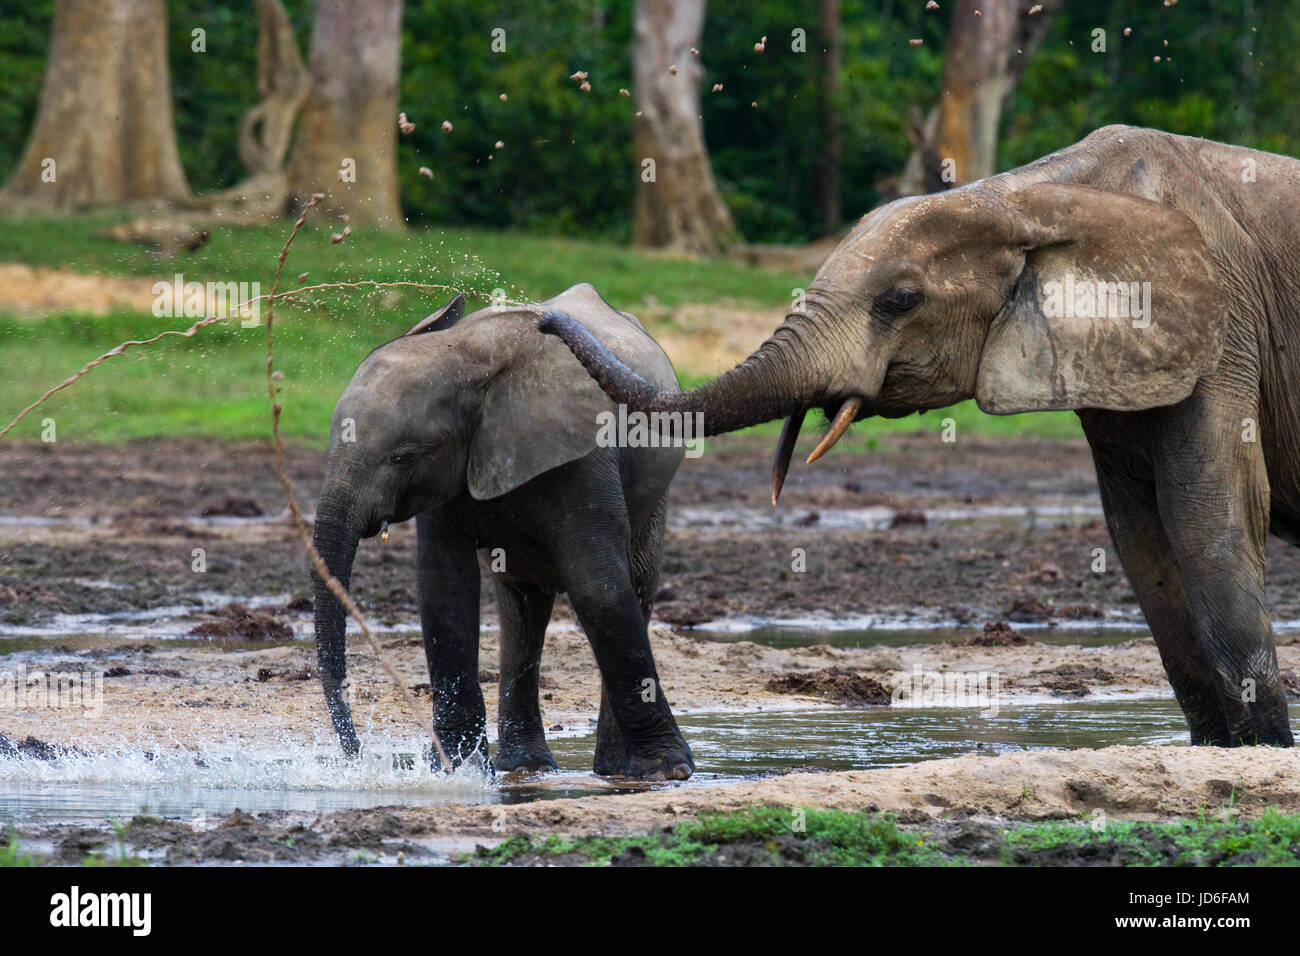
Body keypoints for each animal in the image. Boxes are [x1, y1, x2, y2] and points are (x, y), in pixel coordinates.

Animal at [312, 283, 694, 779]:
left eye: (403, 456)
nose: (359, 755)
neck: (462, 357)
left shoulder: (583, 454)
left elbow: (599, 587)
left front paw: (667, 770)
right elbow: (445, 590)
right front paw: (455, 770)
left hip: (655, 490)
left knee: (635, 583)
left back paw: (616, 770)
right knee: (524, 610)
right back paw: (525, 765)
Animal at [540, 125, 1300, 749]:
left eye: (900, 301)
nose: (547, 316)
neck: (1033, 195)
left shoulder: (1224, 331)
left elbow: (1206, 514)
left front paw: (1261, 751)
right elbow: (1142, 539)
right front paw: (1218, 749)